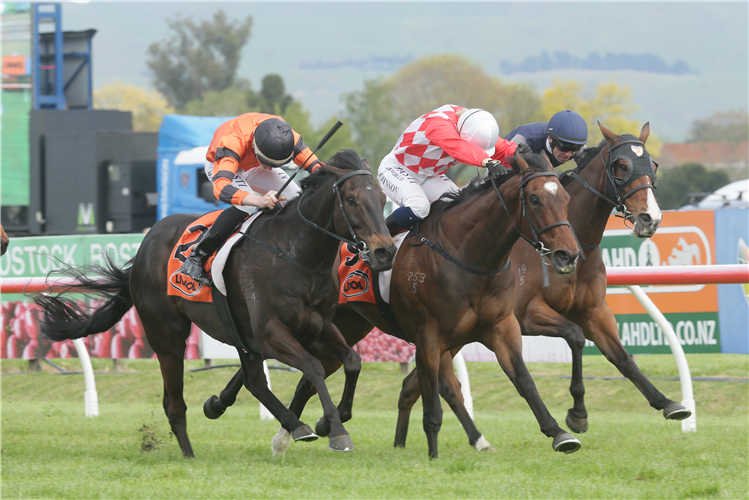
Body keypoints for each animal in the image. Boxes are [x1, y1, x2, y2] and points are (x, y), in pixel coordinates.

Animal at [35, 148, 398, 458]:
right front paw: (335, 429)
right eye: (351, 199)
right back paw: (190, 453)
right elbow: (313, 367)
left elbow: (352, 360)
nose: (385, 252)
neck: (295, 254)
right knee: (177, 402)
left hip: (238, 332)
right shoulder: (271, 332)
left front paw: (333, 418)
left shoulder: (318, 328)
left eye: (382, 199)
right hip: (168, 336)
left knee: (252, 381)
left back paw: (279, 422)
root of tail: (144, 246)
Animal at [207, 150, 580, 458]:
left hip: (342, 327)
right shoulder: (430, 335)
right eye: (534, 199)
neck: (467, 253)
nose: (568, 254)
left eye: (564, 197)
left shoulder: (499, 325)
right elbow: (437, 393)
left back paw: (292, 430)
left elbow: (522, 378)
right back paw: (231, 408)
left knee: (304, 374)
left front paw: (560, 432)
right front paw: (433, 450)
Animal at [394, 122, 692, 450]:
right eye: (622, 166)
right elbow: (575, 336)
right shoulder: (525, 315)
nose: (650, 218)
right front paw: (577, 414)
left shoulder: (594, 311)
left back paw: (410, 443)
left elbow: (623, 358)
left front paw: (667, 403)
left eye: (653, 165)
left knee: (413, 385)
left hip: (454, 335)